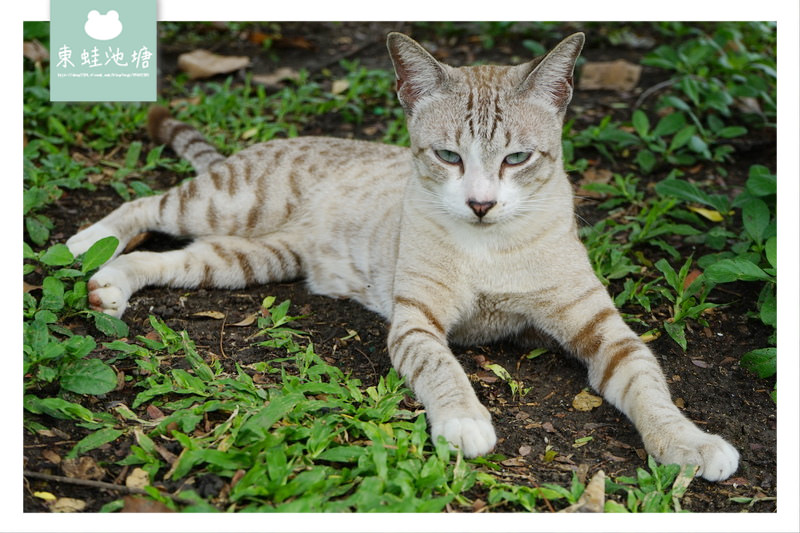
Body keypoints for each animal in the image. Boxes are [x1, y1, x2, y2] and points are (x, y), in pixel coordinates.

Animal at [65, 33, 740, 482]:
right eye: (447, 156)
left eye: (517, 159)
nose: (480, 203)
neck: (492, 245)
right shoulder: (417, 321)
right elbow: (444, 370)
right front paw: (464, 421)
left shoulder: (602, 329)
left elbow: (649, 387)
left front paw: (690, 442)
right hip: (228, 205)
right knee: (148, 204)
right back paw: (85, 242)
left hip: (248, 259)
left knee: (170, 260)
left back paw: (110, 284)